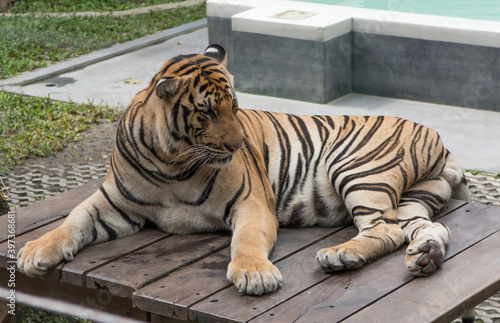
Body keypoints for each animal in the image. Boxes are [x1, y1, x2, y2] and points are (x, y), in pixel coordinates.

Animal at [16, 44, 468, 298]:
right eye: (206, 111)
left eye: (235, 107)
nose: (236, 146)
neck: (171, 162)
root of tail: (439, 138)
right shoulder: (113, 204)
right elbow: (72, 221)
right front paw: (35, 252)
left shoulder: (252, 202)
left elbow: (246, 240)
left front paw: (254, 275)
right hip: (412, 197)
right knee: (429, 228)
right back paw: (425, 256)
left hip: (360, 169)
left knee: (385, 230)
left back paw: (341, 256)